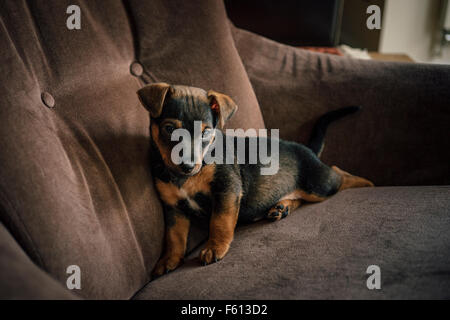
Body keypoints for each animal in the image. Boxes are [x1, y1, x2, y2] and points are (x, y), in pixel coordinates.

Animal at [136, 82, 372, 278]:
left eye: (206, 133)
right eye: (169, 128)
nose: (187, 166)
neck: (183, 179)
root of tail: (307, 149)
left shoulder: (227, 189)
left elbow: (220, 222)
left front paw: (215, 248)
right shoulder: (173, 206)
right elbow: (174, 236)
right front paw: (169, 260)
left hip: (319, 184)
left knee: (338, 174)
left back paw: (366, 183)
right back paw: (282, 207)